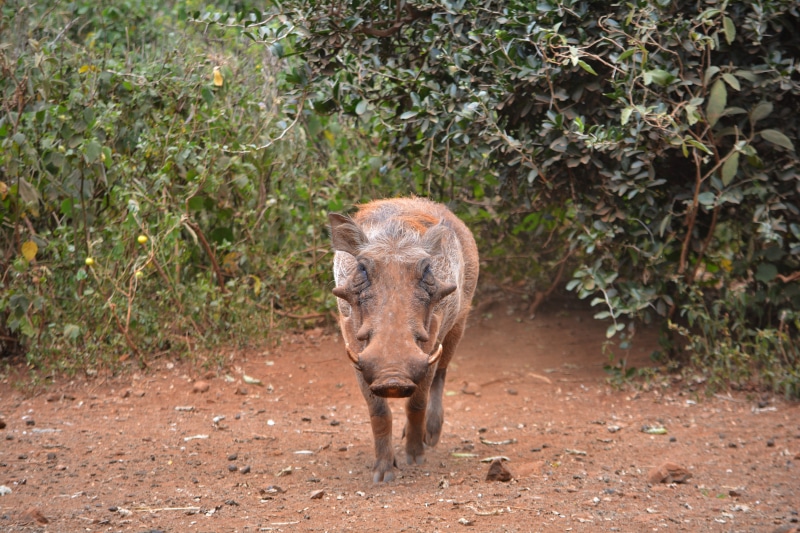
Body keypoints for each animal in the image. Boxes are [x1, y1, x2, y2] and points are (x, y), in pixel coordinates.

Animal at [329, 197, 479, 482]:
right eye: (362, 268)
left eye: (427, 270)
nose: (393, 380)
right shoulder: (355, 350)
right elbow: (378, 412)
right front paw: (383, 472)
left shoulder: (431, 347)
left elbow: (417, 402)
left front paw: (415, 457)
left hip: (459, 324)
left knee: (441, 375)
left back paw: (431, 435)